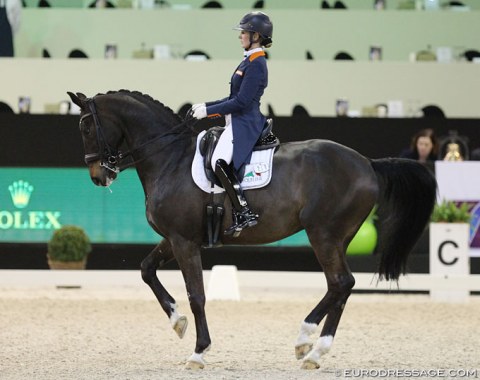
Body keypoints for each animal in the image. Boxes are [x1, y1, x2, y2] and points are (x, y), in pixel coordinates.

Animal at [67, 90, 438, 370]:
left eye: (85, 127)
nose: (99, 176)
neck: (169, 158)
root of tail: (367, 163)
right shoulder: (173, 239)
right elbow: (147, 270)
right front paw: (177, 322)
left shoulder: (184, 241)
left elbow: (197, 295)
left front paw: (199, 352)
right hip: (338, 238)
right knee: (340, 288)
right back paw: (314, 351)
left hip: (324, 234)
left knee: (342, 282)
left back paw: (307, 341)